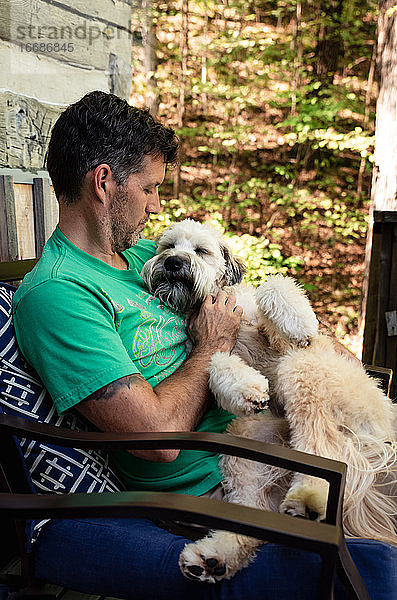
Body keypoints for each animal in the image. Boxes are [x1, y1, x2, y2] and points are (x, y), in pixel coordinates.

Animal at [141, 219, 394, 580]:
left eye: (201, 251)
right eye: (168, 246)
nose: (173, 262)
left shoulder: (275, 338)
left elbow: (273, 287)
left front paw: (301, 322)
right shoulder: (211, 351)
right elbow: (218, 363)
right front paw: (248, 389)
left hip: (302, 369)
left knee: (323, 448)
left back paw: (306, 498)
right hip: (243, 449)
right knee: (257, 515)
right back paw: (212, 557)